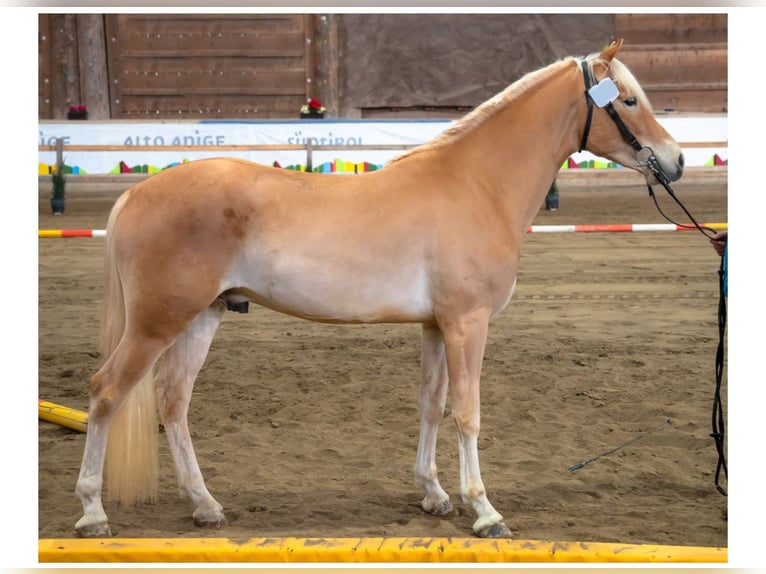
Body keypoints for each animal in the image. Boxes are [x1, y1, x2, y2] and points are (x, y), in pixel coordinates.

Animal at [72, 39, 684, 540]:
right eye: (629, 100)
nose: (674, 161)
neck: (477, 185)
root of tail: (136, 193)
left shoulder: (437, 325)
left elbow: (431, 405)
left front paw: (434, 495)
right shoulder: (468, 323)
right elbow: (468, 412)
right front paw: (484, 510)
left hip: (202, 316)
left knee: (173, 401)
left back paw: (205, 506)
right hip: (156, 324)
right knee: (106, 392)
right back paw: (93, 513)